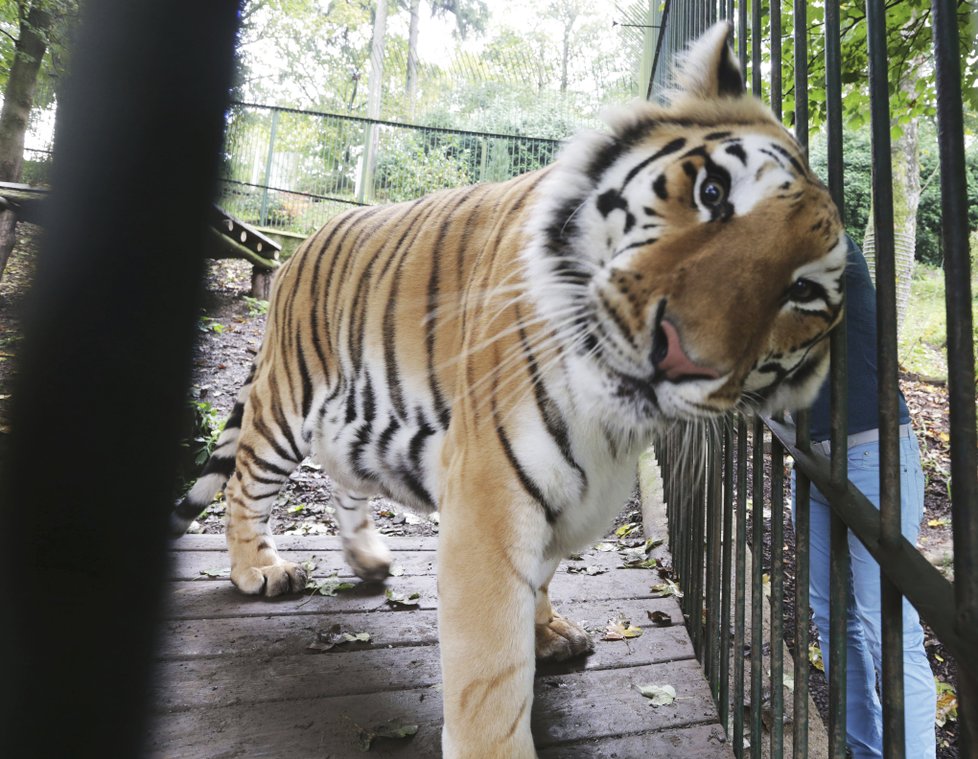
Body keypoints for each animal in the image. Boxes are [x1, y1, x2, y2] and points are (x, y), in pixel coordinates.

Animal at [175, 22, 848, 759]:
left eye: (802, 293)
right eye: (714, 192)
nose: (679, 353)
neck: (615, 432)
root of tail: (303, 243)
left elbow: (543, 577)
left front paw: (549, 631)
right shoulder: (489, 493)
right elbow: (491, 672)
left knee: (343, 477)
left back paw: (369, 558)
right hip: (286, 401)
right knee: (245, 483)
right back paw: (258, 570)